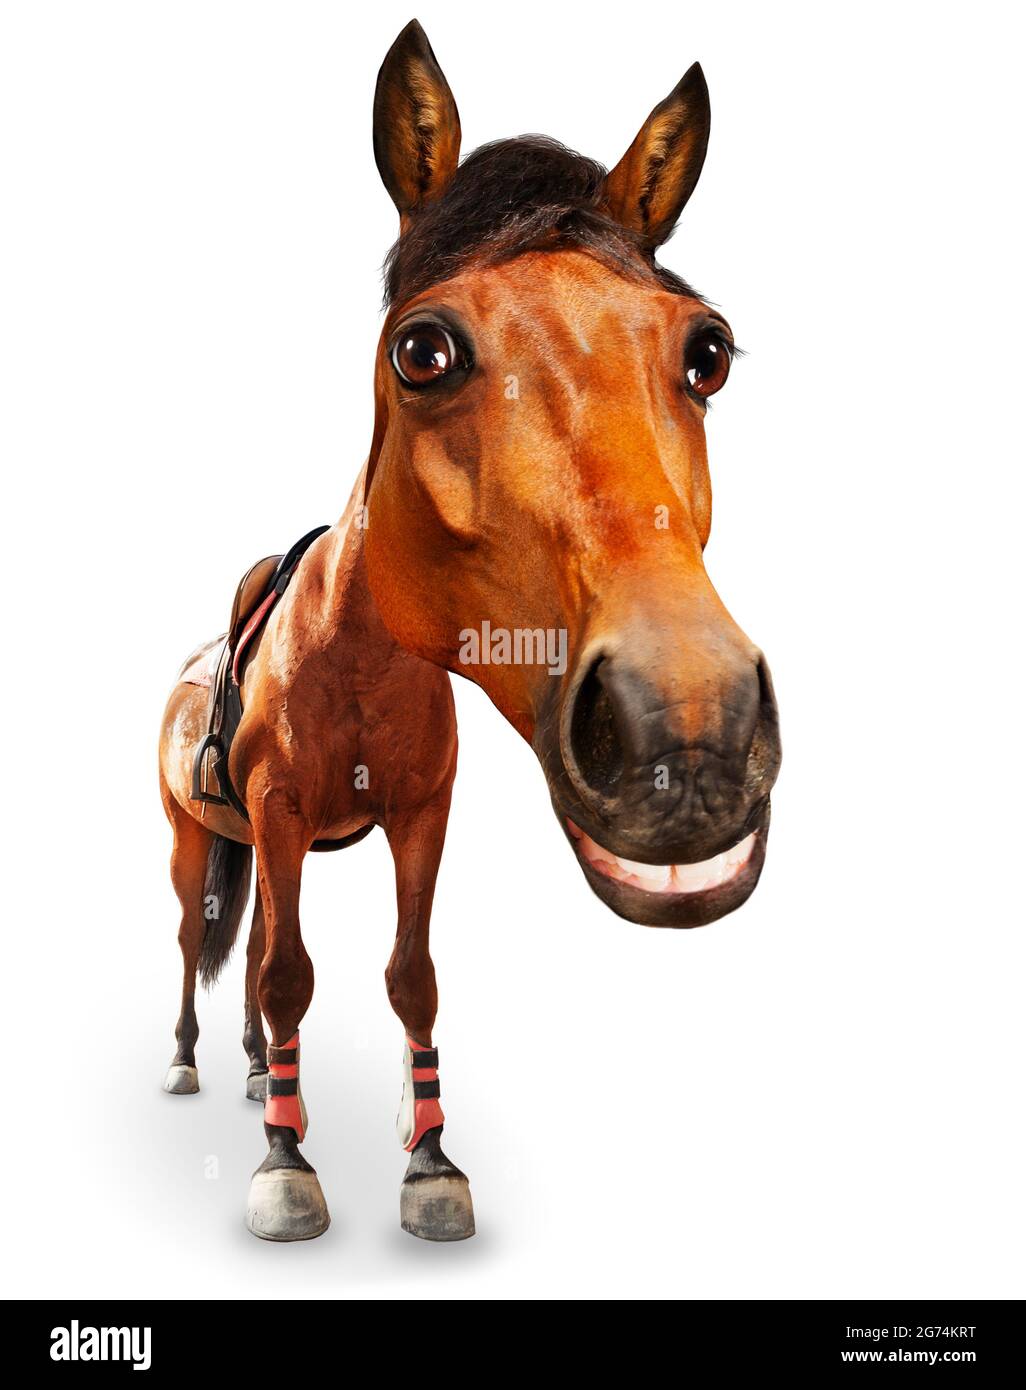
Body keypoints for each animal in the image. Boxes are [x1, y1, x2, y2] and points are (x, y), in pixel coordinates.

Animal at [157, 16, 784, 1245]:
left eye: (708, 353)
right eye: (423, 352)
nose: (688, 738)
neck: (355, 657)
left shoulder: (421, 818)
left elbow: (409, 976)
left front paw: (430, 1164)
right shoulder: (278, 814)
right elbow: (291, 973)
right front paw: (287, 1169)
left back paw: (257, 1073)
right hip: (197, 841)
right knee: (203, 946)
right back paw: (198, 1066)